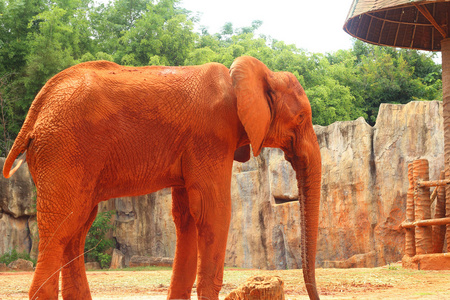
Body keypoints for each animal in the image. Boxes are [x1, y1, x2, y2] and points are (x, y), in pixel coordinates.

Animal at [1, 55, 322, 298]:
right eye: (301, 118)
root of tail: (36, 108)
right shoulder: (212, 137)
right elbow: (213, 211)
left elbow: (187, 216)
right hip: (63, 148)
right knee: (61, 227)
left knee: (77, 227)